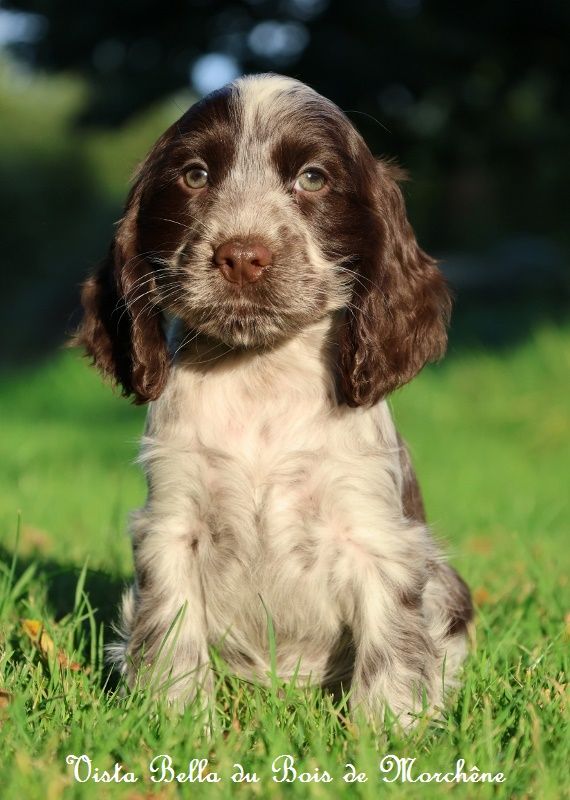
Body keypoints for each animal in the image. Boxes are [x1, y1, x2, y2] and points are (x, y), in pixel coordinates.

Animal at [77, 73, 472, 724]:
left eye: (312, 178)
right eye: (194, 176)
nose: (242, 255)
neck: (259, 375)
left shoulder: (376, 534)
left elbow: (393, 648)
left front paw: (387, 734)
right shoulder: (172, 525)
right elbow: (170, 636)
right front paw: (177, 722)